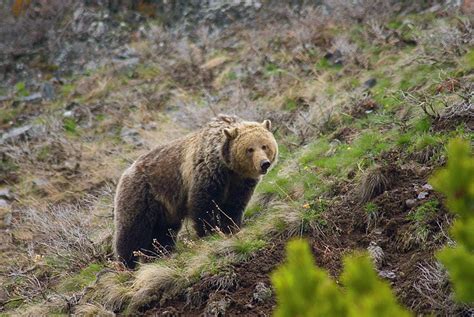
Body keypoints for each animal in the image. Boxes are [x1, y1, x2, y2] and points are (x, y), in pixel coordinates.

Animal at [113, 113, 278, 266]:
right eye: (250, 149)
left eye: (265, 146)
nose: (264, 163)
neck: (229, 168)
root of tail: (127, 170)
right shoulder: (208, 174)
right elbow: (204, 206)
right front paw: (210, 233)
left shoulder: (241, 183)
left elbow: (233, 207)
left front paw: (231, 228)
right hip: (142, 195)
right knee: (132, 232)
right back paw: (127, 264)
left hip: (165, 209)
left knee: (163, 232)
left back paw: (159, 255)